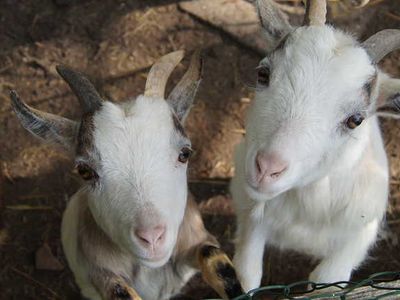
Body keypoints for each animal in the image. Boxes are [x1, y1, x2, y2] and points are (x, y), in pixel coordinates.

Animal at [11, 51, 244, 300]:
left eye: (185, 153)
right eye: (85, 171)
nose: (152, 238)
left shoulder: (197, 239)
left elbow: (215, 258)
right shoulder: (100, 274)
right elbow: (120, 291)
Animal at [230, 0, 400, 292]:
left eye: (355, 120)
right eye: (263, 74)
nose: (267, 169)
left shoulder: (360, 233)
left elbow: (327, 281)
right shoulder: (249, 209)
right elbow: (247, 273)